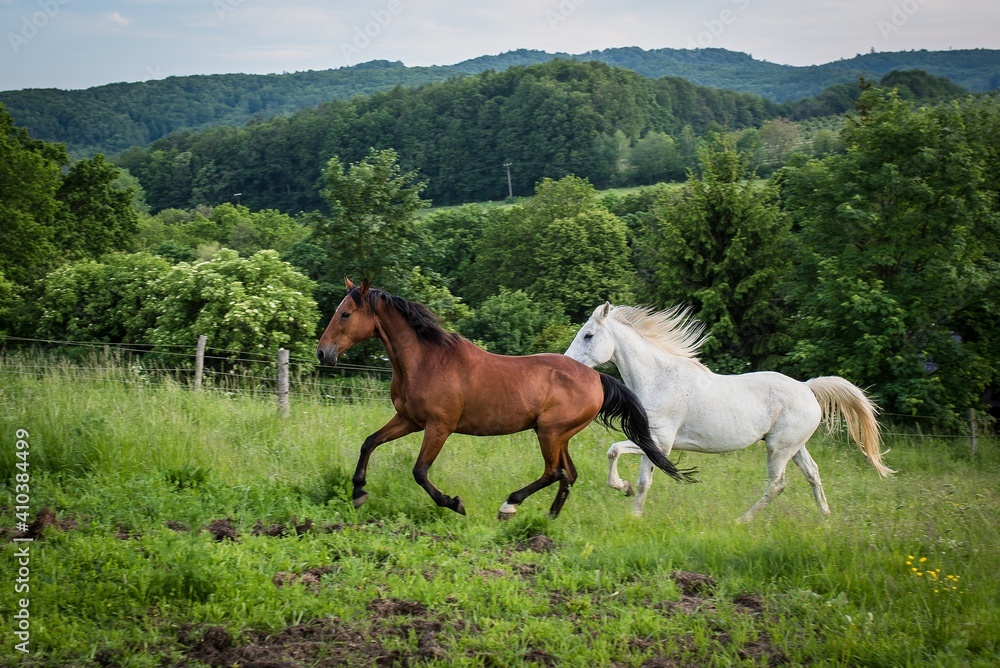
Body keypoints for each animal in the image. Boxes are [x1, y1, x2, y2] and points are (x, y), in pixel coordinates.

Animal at [316, 279, 696, 520]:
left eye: (345, 314)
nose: (323, 353)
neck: (425, 360)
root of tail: (597, 377)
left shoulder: (439, 427)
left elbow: (420, 472)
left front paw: (455, 503)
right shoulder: (409, 420)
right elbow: (368, 442)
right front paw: (358, 492)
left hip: (549, 433)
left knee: (554, 471)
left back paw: (510, 506)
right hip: (559, 435)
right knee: (568, 474)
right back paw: (550, 517)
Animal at [564, 302, 893, 522]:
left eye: (589, 335)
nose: (567, 362)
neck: (659, 379)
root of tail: (808, 388)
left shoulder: (660, 442)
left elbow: (625, 460)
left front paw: (627, 496)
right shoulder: (651, 442)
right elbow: (630, 466)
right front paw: (630, 503)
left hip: (778, 450)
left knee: (777, 484)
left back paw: (743, 520)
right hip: (794, 447)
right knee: (812, 473)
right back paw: (825, 517)